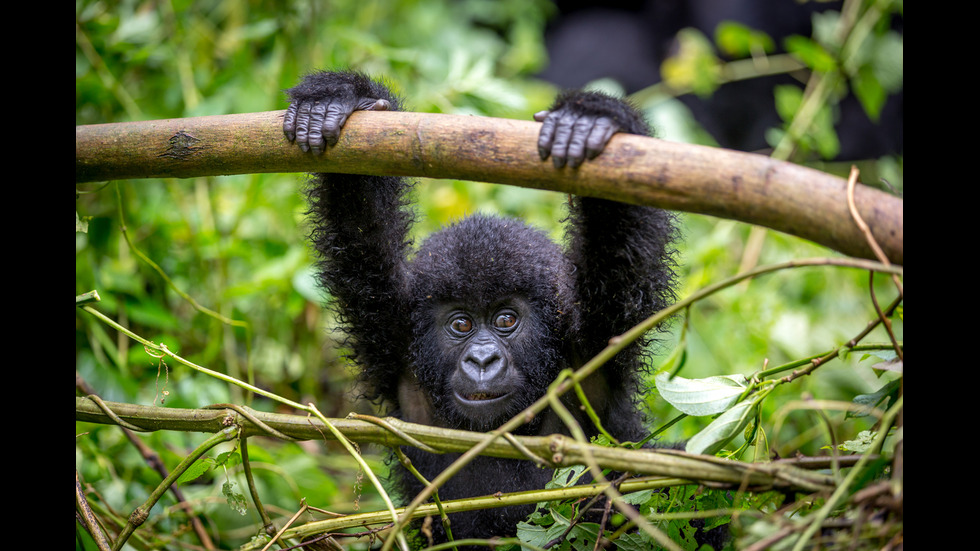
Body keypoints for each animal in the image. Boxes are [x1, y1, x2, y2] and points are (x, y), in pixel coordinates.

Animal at [284, 71, 676, 544]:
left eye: (506, 319)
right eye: (461, 324)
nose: (483, 359)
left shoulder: (595, 344)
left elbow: (619, 246)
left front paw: (592, 119)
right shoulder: (393, 335)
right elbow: (360, 226)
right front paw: (337, 100)